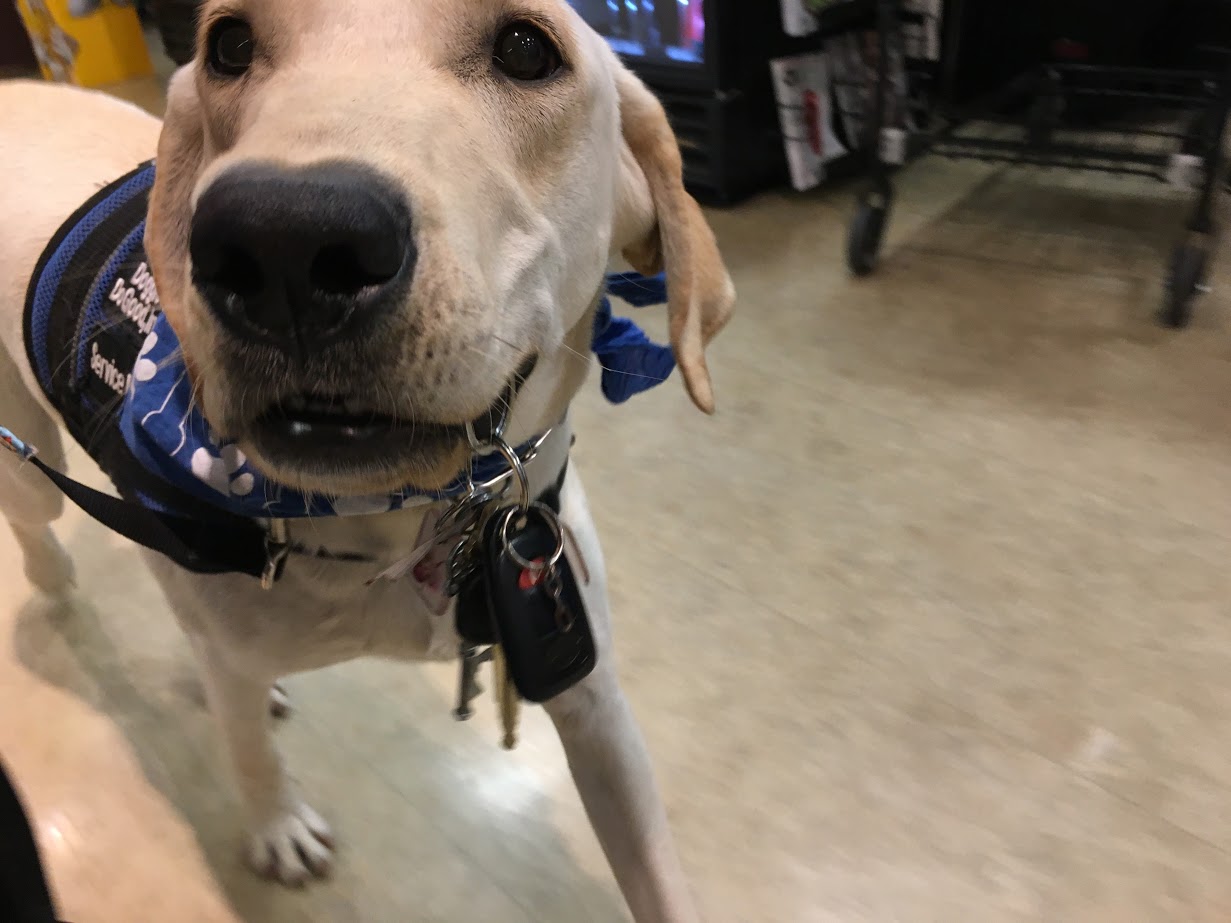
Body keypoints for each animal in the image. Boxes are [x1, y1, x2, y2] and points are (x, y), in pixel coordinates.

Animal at [0, 0, 728, 920]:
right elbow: (247, 752)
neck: (407, 522)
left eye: (526, 48)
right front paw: (277, 826)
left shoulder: (591, 690)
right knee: (51, 533)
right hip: (27, 461)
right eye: (228, 44)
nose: (282, 238)